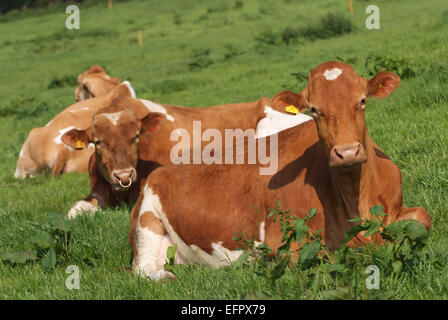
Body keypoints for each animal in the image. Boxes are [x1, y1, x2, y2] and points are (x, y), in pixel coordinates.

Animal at [129, 61, 430, 282]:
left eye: (363, 101)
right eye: (315, 110)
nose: (346, 153)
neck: (356, 200)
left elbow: (421, 218)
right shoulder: (284, 243)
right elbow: (334, 254)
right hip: (147, 221)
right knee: (143, 270)